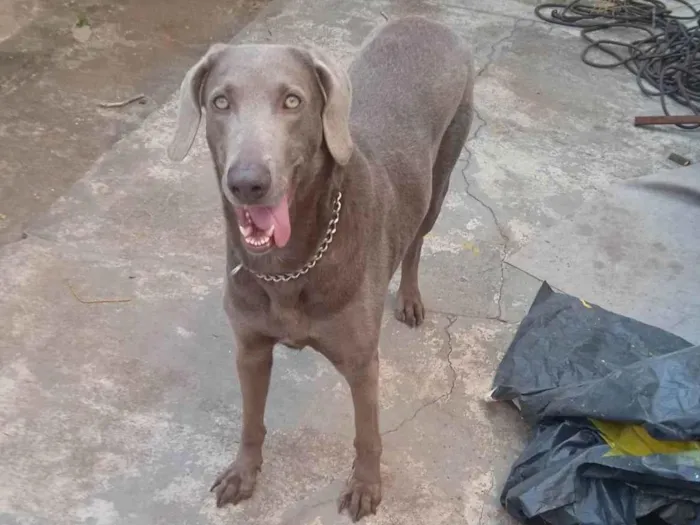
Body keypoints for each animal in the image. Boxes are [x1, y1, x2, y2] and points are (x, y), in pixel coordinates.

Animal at [169, 15, 474, 520]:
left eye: (293, 101)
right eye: (220, 102)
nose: (247, 183)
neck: (290, 264)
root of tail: (425, 18)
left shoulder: (362, 363)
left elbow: (368, 435)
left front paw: (366, 486)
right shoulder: (250, 348)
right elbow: (251, 420)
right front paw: (243, 473)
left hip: (441, 177)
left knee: (414, 242)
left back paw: (409, 298)